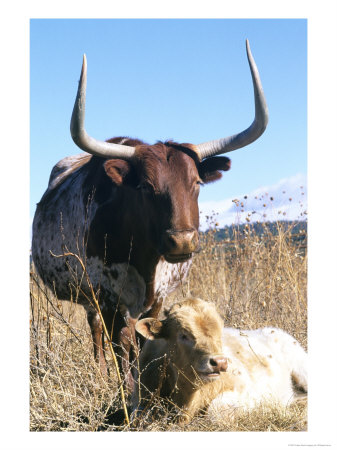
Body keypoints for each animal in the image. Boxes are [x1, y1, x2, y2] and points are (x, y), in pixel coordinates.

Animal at [31, 40, 268, 392]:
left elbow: (149, 340)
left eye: (197, 183)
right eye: (144, 186)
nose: (181, 241)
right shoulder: (109, 296)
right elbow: (122, 345)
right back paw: (101, 375)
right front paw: (125, 389)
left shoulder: (158, 298)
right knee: (97, 331)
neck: (144, 258)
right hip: (90, 295)